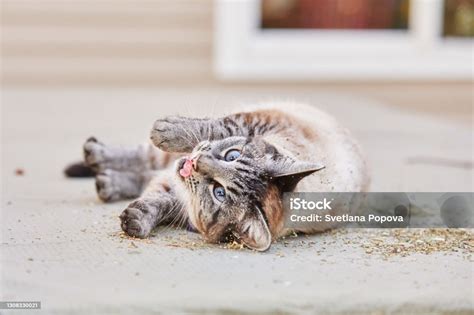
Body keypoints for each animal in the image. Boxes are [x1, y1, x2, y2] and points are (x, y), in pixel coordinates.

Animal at [65, 102, 370, 252]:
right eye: (232, 155)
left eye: (218, 193)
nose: (196, 161)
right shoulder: (251, 122)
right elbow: (217, 126)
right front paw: (167, 130)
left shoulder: (180, 200)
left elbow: (155, 202)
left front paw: (136, 221)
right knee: (143, 157)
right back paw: (96, 154)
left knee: (143, 173)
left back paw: (107, 181)